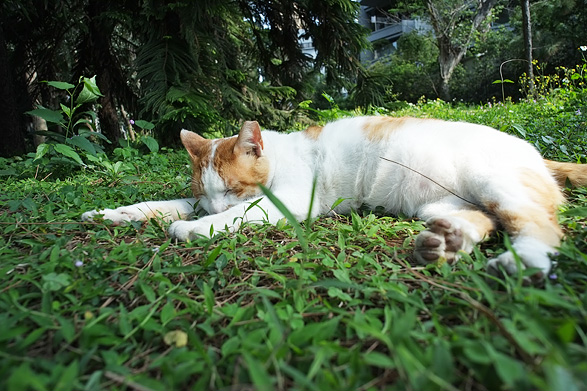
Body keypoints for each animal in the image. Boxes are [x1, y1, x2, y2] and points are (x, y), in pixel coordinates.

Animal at [82, 118, 587, 280]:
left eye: (233, 189)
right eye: (208, 191)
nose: (218, 205)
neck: (279, 155)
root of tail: (536, 152)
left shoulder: (285, 202)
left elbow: (231, 217)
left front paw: (190, 229)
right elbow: (166, 204)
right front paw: (113, 213)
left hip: (492, 181)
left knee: (539, 224)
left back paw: (523, 261)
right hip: (440, 203)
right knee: (484, 219)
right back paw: (446, 241)